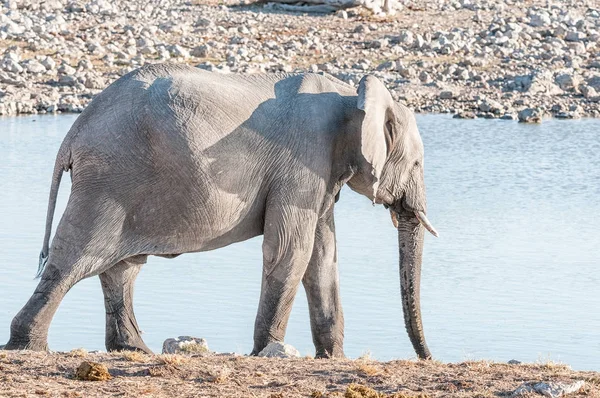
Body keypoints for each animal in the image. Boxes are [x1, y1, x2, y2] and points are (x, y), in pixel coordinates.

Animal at [2, 63, 438, 360]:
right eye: (417, 164)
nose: (428, 358)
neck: (352, 94)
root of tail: (73, 133)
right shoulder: (302, 161)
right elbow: (291, 251)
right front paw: (267, 352)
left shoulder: (320, 172)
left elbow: (322, 256)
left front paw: (332, 358)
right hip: (109, 179)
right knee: (76, 258)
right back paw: (27, 347)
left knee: (121, 267)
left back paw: (134, 350)